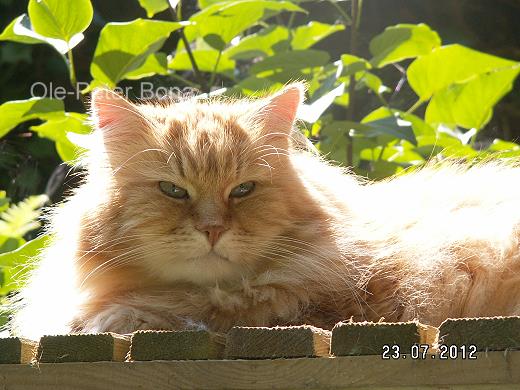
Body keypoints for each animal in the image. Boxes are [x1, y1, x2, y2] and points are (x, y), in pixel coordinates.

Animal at [10, 84, 520, 340]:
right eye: (173, 191)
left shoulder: (316, 303)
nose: (212, 229)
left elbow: (189, 311)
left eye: (243, 190)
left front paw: (109, 318)